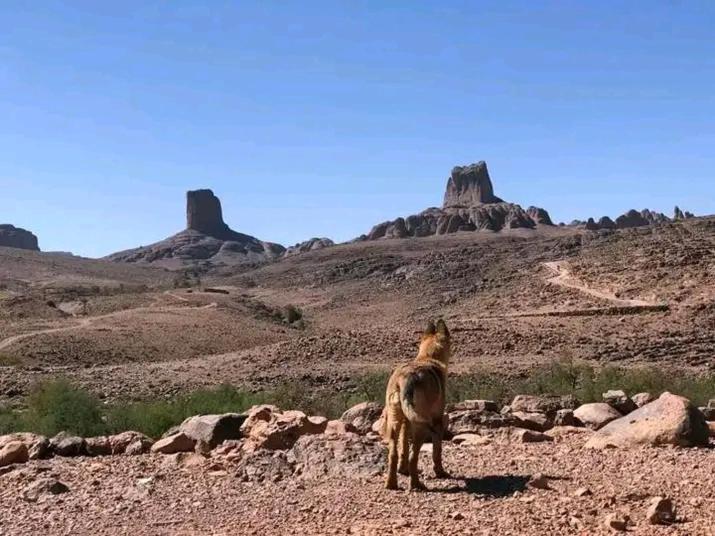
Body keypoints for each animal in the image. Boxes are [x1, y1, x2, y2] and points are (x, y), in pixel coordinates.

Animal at [384, 318, 450, 490]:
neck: (427, 357)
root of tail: (404, 379)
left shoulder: (406, 422)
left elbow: (403, 450)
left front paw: (403, 470)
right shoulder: (437, 421)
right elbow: (437, 451)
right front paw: (440, 472)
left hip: (395, 423)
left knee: (393, 454)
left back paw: (391, 483)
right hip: (421, 427)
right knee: (414, 457)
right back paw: (416, 484)